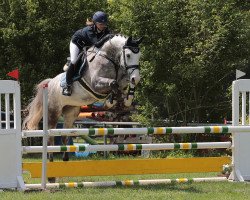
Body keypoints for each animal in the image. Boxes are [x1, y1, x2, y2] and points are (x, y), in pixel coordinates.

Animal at [23, 34, 143, 162]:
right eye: (128, 55)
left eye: (139, 56)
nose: (136, 78)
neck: (109, 59)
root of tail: (50, 83)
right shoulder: (96, 84)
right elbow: (113, 84)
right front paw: (112, 100)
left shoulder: (123, 79)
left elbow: (124, 84)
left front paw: (126, 99)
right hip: (54, 111)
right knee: (51, 134)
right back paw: (50, 158)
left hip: (71, 112)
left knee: (64, 134)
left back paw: (65, 158)